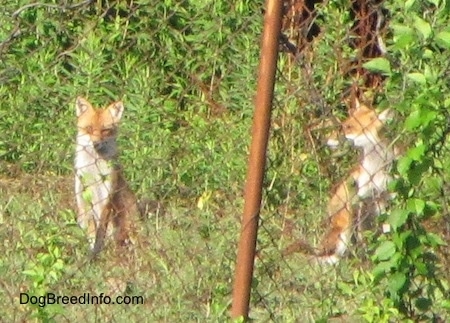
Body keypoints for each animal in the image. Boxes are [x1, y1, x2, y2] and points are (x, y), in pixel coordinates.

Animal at [74, 96, 138, 256]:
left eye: (105, 130)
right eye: (89, 129)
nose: (96, 144)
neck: (93, 172)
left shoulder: (106, 198)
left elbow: (100, 232)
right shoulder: (83, 197)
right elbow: (91, 231)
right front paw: (92, 251)